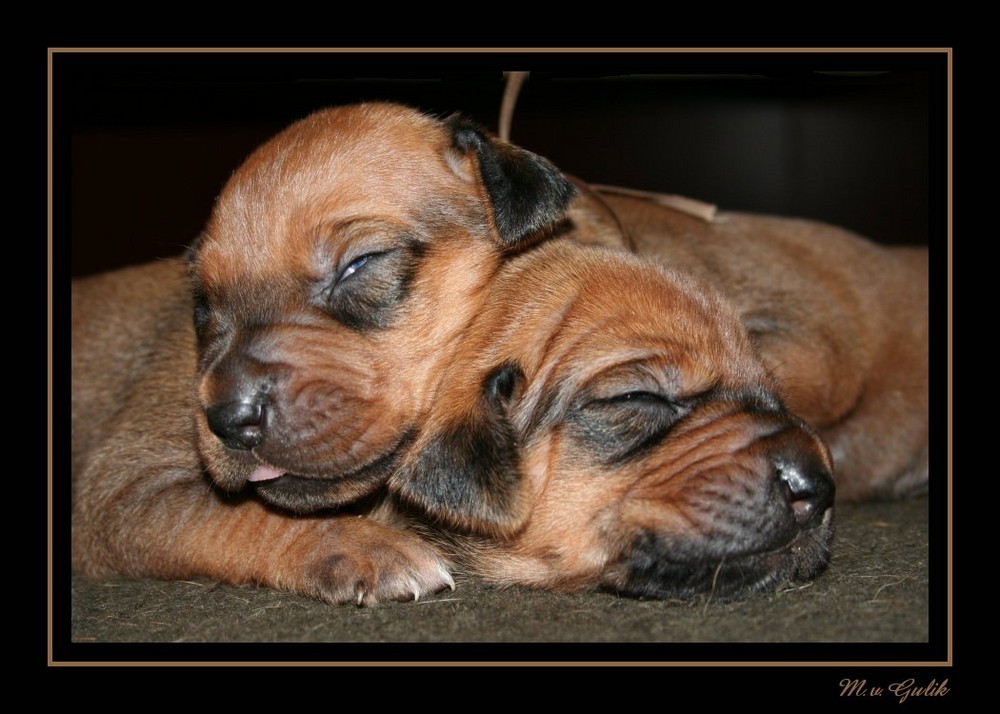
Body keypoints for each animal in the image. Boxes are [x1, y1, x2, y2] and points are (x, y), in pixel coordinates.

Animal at [72, 101, 580, 600]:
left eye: (360, 264)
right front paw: (363, 546)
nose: (229, 420)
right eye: (202, 303)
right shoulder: (120, 491)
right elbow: (238, 516)